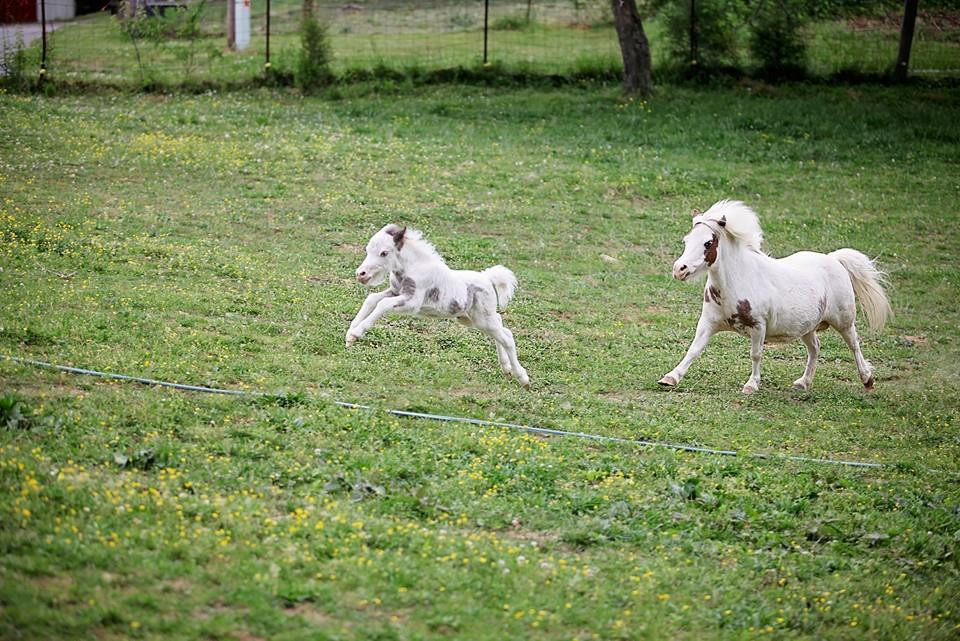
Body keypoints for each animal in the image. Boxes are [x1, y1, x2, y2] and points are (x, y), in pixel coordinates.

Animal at [347, 224, 531, 389]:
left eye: (384, 253)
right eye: (367, 250)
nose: (361, 274)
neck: (414, 268)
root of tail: (488, 278)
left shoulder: (411, 302)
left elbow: (382, 304)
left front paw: (355, 334)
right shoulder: (394, 291)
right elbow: (371, 299)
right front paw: (350, 333)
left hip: (482, 319)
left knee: (507, 338)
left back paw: (523, 379)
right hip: (472, 319)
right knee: (502, 329)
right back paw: (507, 369)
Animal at [658, 200, 892, 394]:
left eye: (708, 243)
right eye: (687, 240)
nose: (679, 269)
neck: (738, 282)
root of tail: (834, 259)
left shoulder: (758, 326)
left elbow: (756, 354)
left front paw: (751, 385)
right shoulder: (708, 322)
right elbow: (694, 349)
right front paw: (670, 377)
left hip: (844, 321)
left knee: (854, 345)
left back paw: (867, 379)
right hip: (807, 327)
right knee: (815, 348)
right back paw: (803, 382)